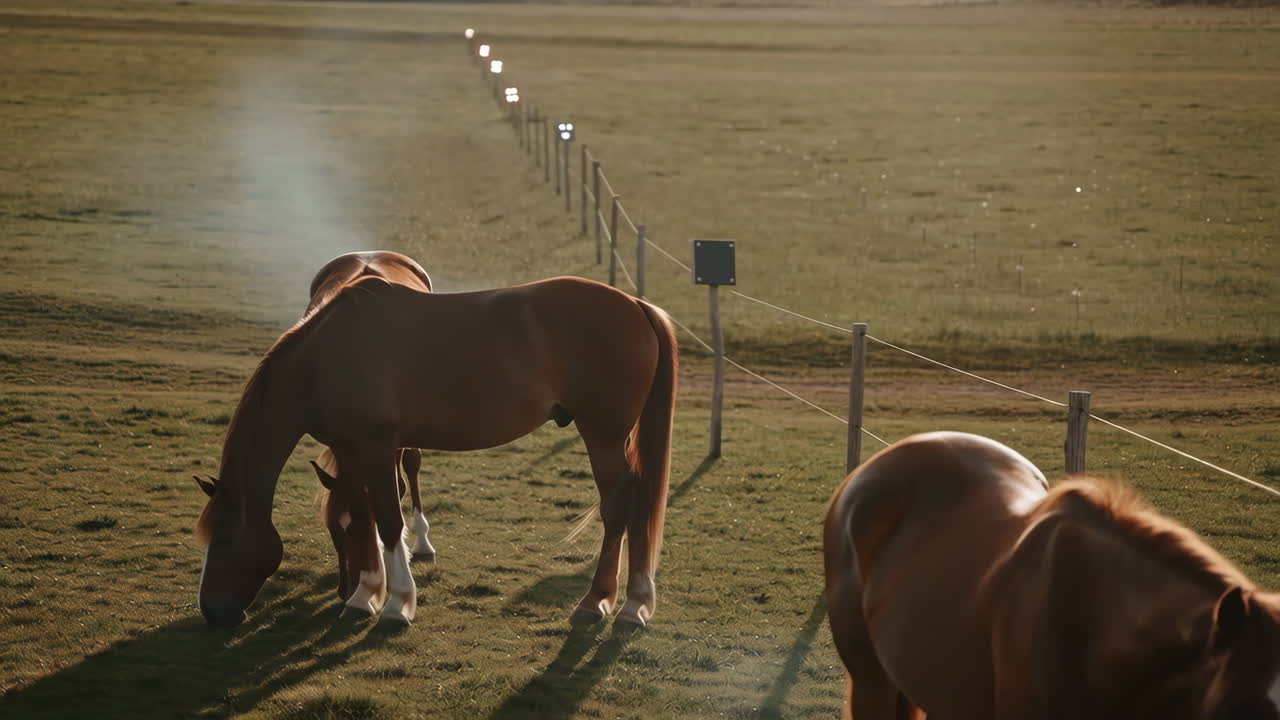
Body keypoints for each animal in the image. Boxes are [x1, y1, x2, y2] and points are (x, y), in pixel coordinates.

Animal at [194, 275, 677, 628]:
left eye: (225, 537)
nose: (212, 612)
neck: (327, 357)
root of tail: (636, 306)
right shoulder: (352, 450)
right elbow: (363, 515)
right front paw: (365, 595)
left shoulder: (375, 447)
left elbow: (389, 521)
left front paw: (398, 603)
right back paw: (633, 602)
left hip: (604, 435)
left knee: (618, 506)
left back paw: (603, 601)